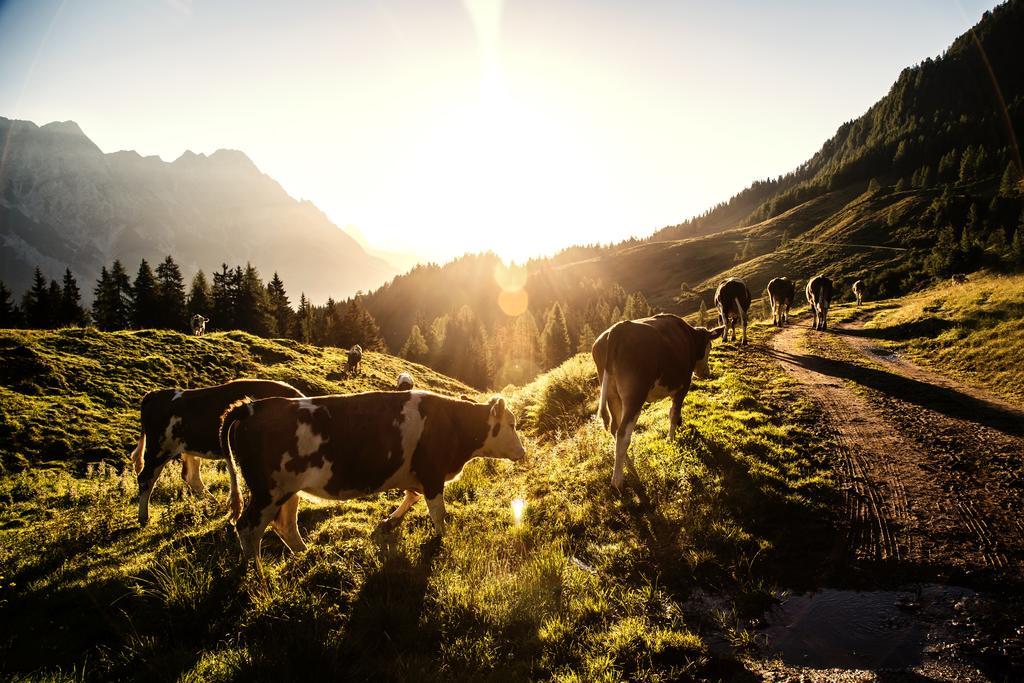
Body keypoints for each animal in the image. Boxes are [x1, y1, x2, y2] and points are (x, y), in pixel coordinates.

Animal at [130, 376, 303, 528]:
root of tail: (154, 394)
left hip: (187, 448)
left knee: (190, 476)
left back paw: (215, 503)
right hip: (159, 448)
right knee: (146, 478)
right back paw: (144, 518)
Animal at [224, 389, 528, 573]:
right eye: (512, 425)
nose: (523, 452)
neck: (453, 423)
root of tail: (251, 407)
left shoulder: (416, 475)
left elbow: (411, 496)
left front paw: (390, 521)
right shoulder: (432, 474)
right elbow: (438, 513)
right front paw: (442, 539)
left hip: (288, 491)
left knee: (285, 524)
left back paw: (305, 555)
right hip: (268, 492)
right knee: (248, 528)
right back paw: (257, 574)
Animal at [589, 315, 724, 491]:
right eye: (709, 346)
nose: (706, 373)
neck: (689, 336)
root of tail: (618, 328)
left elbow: (673, 411)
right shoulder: (684, 385)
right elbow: (673, 412)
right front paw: (671, 439)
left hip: (612, 394)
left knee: (614, 429)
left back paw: (630, 468)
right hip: (635, 395)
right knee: (623, 434)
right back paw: (618, 481)